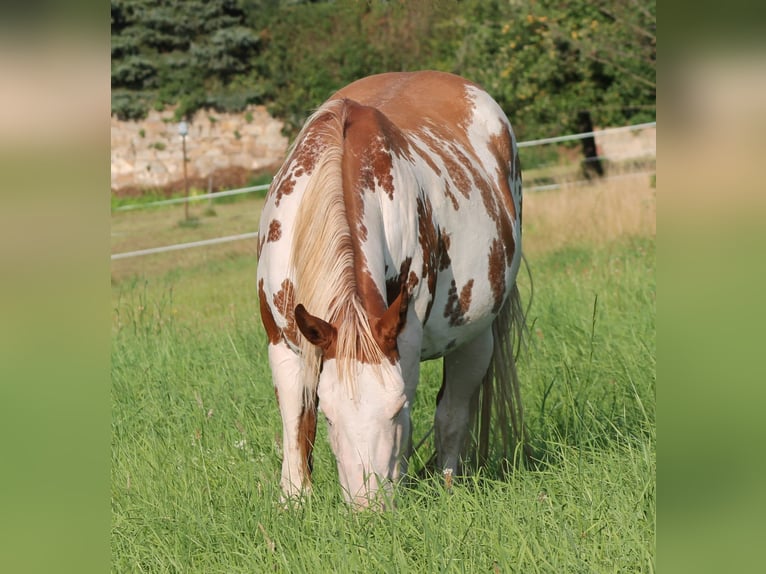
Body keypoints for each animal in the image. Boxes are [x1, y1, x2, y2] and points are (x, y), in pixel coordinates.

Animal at [257, 71, 526, 508]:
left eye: (398, 408)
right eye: (329, 414)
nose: (369, 509)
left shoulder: (406, 337)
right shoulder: (282, 342)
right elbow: (296, 422)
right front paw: (294, 501)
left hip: (478, 338)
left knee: (452, 414)